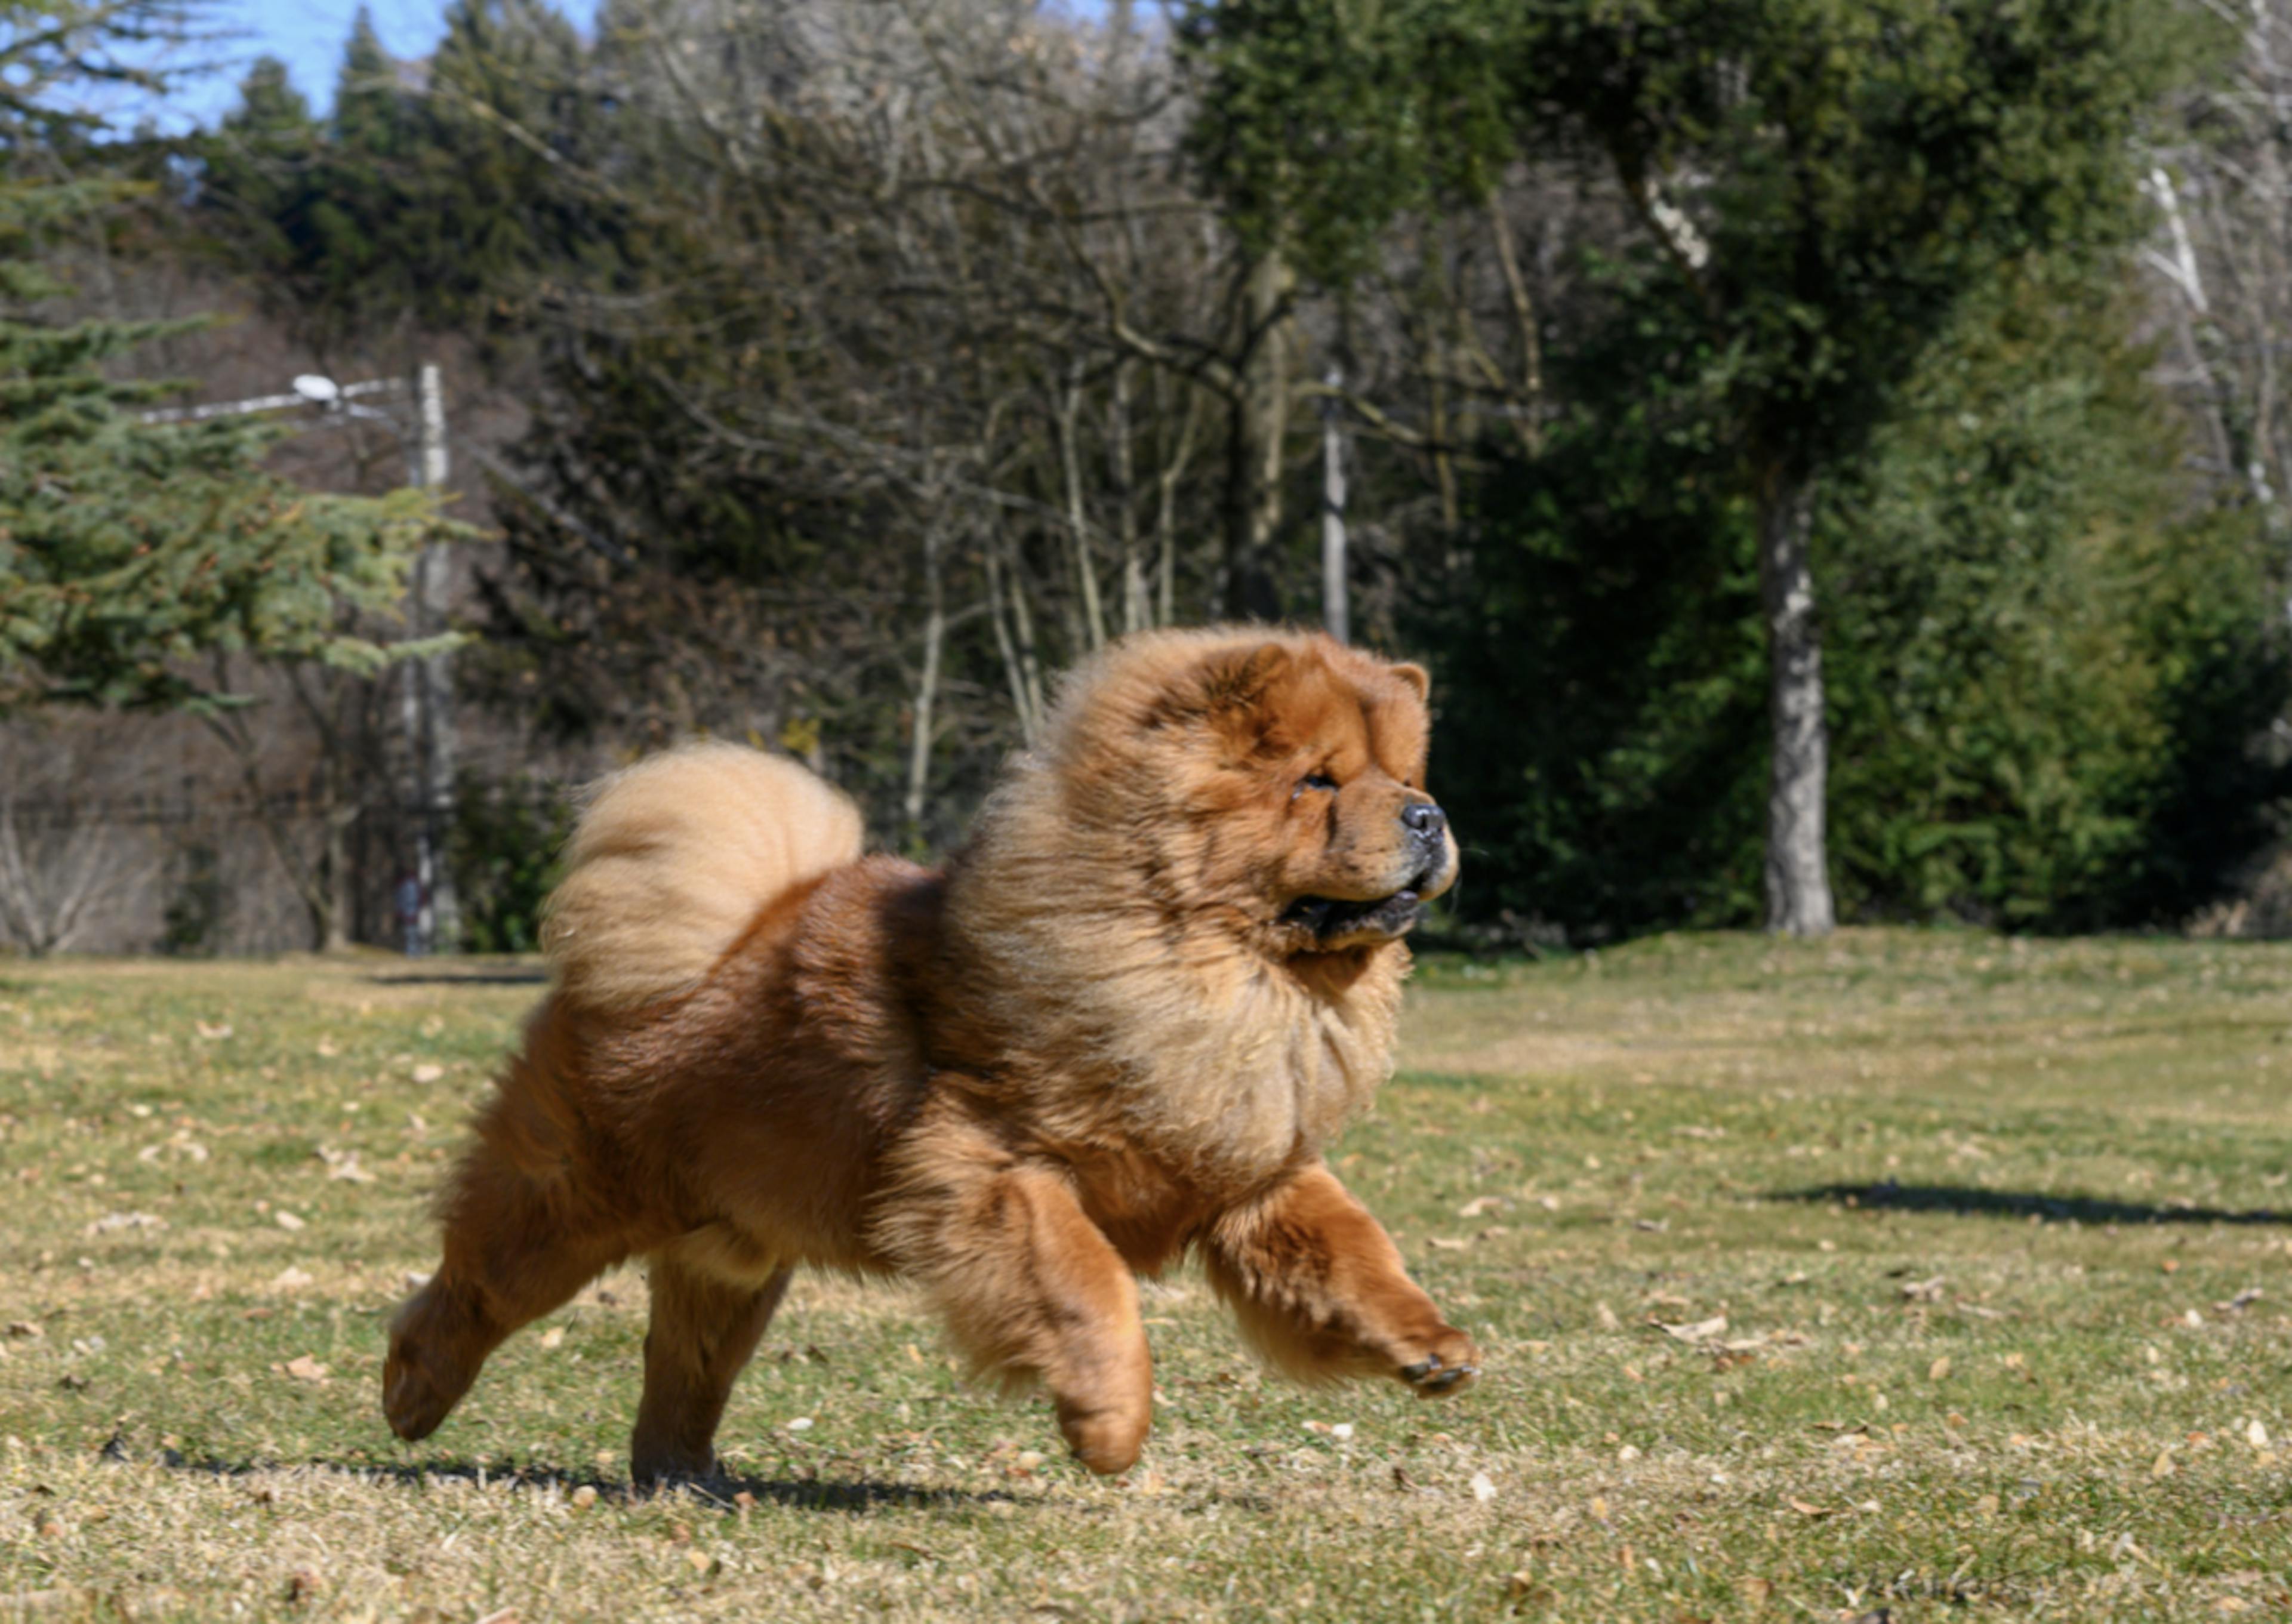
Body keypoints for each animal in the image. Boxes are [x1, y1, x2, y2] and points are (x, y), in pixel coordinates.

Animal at [385, 627, 1475, 1475]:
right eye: (1317, 783)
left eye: (1405, 778)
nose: (1428, 815)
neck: (1224, 975)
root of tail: (713, 932)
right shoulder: (994, 1170)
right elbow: (1091, 1291)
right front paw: (1110, 1429)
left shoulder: (1251, 1169)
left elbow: (1349, 1250)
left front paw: (1429, 1344)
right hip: (574, 1199)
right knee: (471, 1288)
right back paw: (411, 1395)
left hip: (735, 1253)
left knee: (684, 1362)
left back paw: (684, 1477)